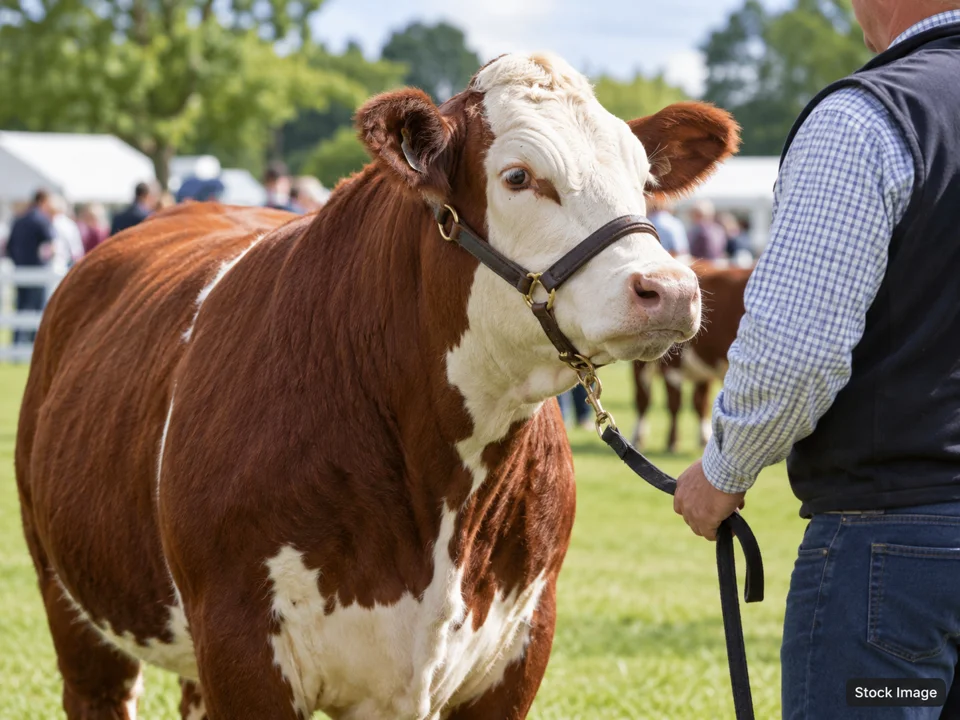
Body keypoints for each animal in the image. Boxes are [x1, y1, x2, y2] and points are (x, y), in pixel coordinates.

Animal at [15, 53, 737, 720]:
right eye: (518, 176)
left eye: (643, 179)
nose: (669, 288)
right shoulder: (242, 647)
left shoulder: (518, 648)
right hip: (71, 604)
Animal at [632, 262, 752, 453]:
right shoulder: (676, 366)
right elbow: (680, 403)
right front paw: (675, 441)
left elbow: (697, 403)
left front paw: (697, 438)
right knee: (642, 397)